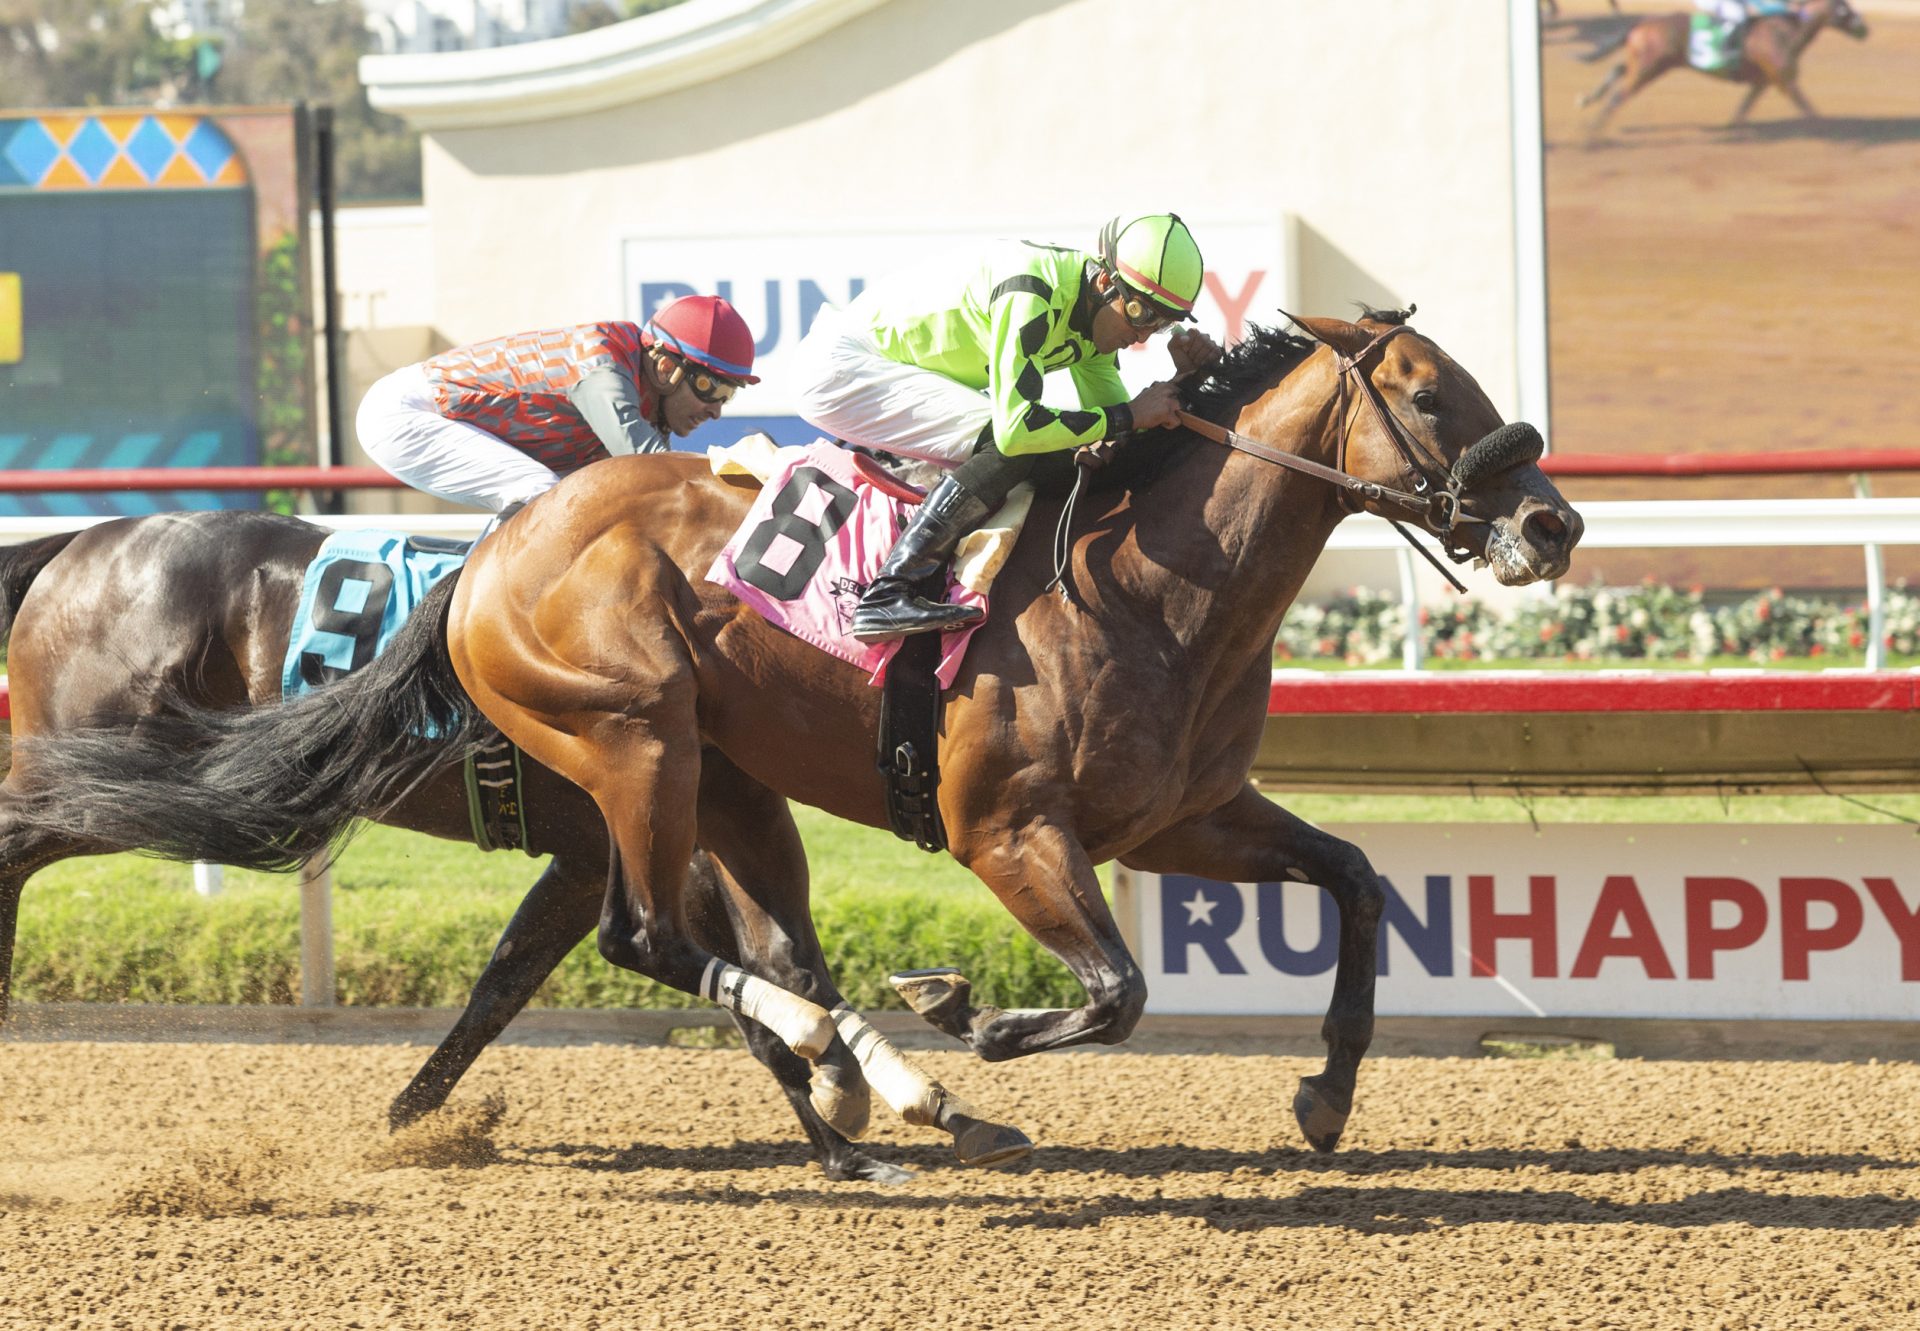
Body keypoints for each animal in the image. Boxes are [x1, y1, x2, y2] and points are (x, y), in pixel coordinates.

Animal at [7, 311, 1582, 1152]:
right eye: (1430, 391)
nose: (1551, 521)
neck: (1144, 581)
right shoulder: (1006, 828)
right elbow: (1117, 987)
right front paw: (962, 1017)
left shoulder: (1181, 817)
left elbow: (1355, 883)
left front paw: (1322, 1093)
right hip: (632, 741)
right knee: (652, 934)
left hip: (710, 773)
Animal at [1574, 0, 1873, 135]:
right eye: (1845, 8)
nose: (1864, 30)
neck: (1787, 31)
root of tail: (1641, 23)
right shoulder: (1785, 81)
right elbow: (1810, 111)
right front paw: (1830, 130)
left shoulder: (1762, 82)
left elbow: (1742, 111)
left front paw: (1734, 129)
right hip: (1650, 67)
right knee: (1618, 96)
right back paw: (1593, 136)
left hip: (1643, 62)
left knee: (1616, 70)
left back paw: (1586, 101)